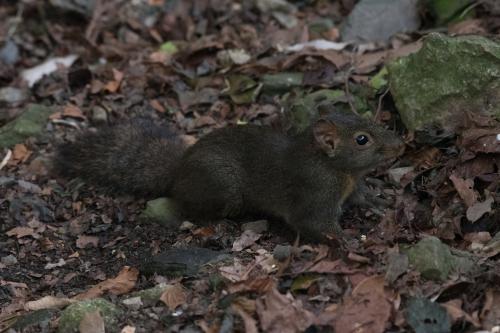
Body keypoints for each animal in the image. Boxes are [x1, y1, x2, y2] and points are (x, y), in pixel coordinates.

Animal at [53, 106, 406, 241]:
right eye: (362, 139)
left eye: (369, 120)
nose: (400, 145)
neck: (338, 170)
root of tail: (179, 170)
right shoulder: (314, 192)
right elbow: (313, 224)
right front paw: (346, 240)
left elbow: (359, 196)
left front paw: (374, 201)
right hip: (223, 188)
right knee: (189, 207)